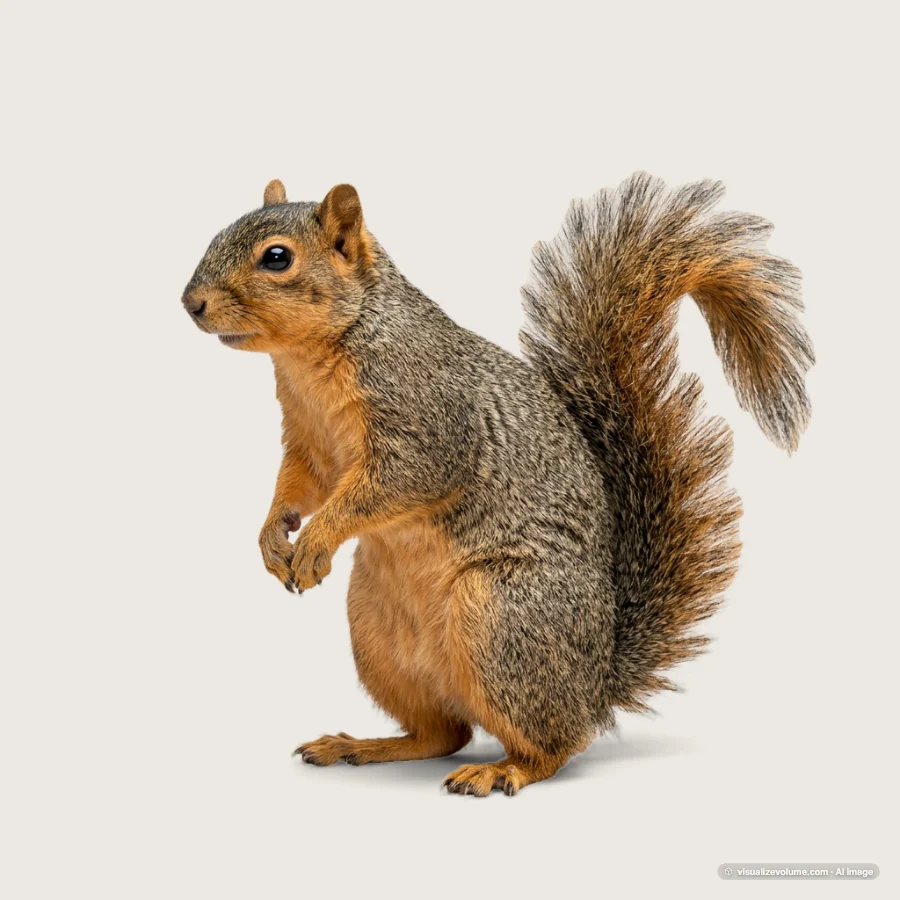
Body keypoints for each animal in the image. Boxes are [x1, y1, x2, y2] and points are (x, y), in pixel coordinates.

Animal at [182, 173, 813, 796]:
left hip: (500, 616)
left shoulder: (427, 424)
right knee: (442, 734)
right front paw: (272, 537)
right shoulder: (307, 442)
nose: (191, 304)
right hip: (377, 635)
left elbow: (391, 484)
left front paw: (316, 540)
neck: (313, 358)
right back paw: (363, 746)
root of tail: (596, 682)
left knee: (553, 744)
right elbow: (298, 487)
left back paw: (504, 769)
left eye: (277, 258)